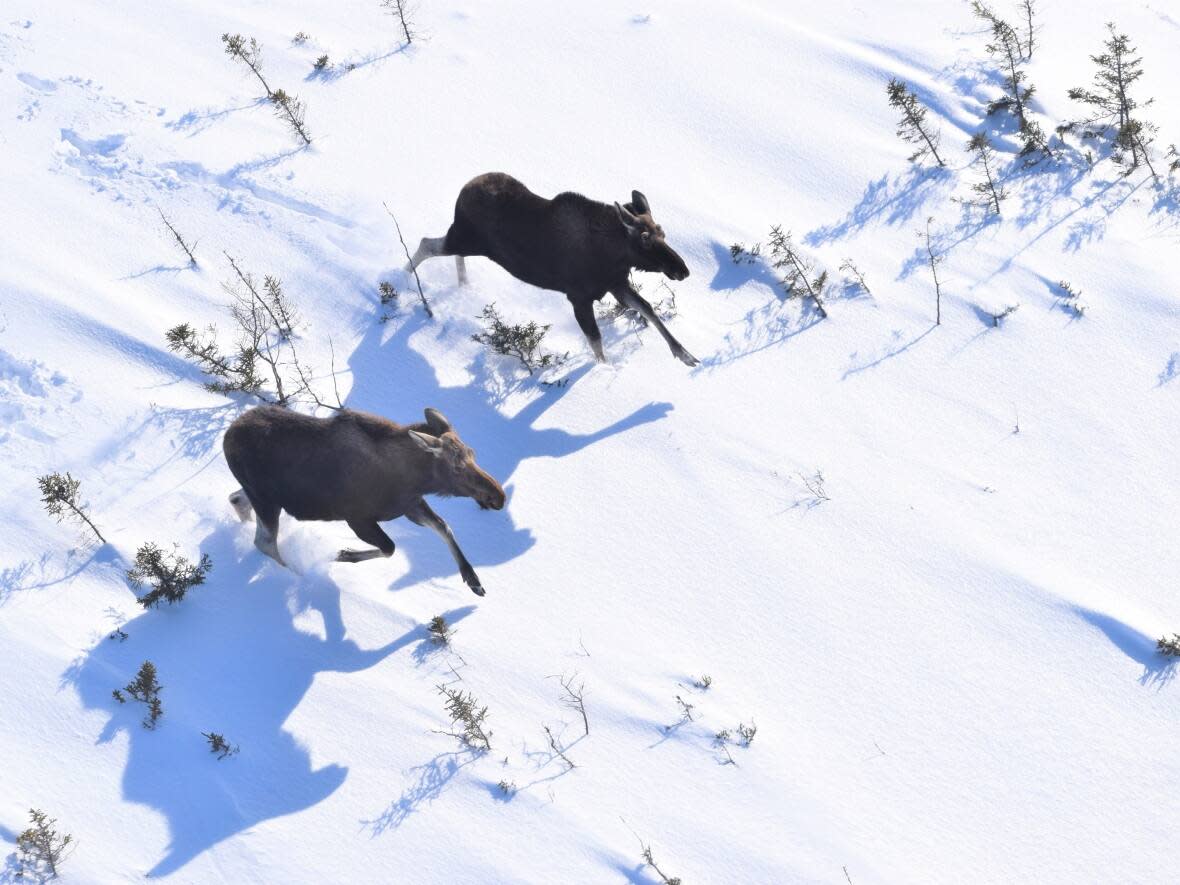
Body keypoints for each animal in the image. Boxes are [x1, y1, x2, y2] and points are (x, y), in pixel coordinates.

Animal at [223, 405, 505, 599]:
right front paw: (344, 554)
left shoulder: (410, 506)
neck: (413, 479)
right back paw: (297, 574)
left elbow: (444, 527)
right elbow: (390, 547)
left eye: (473, 454)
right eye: (456, 467)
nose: (499, 496)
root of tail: (228, 434)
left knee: (236, 499)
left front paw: (473, 579)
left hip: (262, 495)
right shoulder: (358, 518)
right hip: (266, 499)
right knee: (265, 542)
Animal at [408, 169, 693, 368]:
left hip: (469, 242)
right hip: (464, 237)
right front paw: (606, 370)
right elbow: (596, 341)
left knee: (449, 253)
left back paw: (462, 284)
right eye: (645, 238)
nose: (682, 270)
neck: (612, 254)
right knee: (427, 244)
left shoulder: (616, 284)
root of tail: (464, 188)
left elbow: (648, 309)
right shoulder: (579, 297)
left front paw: (684, 354)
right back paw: (406, 279)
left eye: (663, 233)